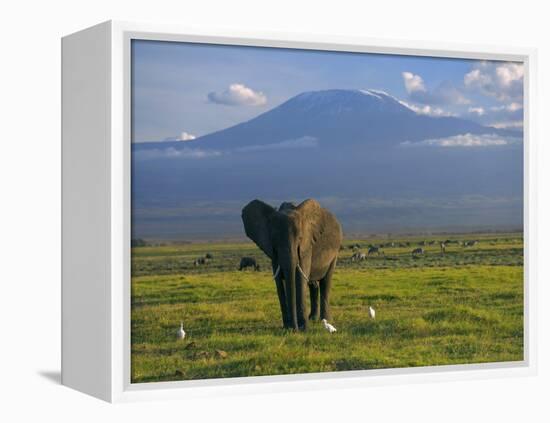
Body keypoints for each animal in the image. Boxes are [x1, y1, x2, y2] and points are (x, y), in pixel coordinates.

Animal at [243, 199, 342, 332]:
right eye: (274, 240)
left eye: (300, 238)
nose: (294, 329)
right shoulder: (274, 253)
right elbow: (279, 282)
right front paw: (287, 328)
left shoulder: (306, 246)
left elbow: (299, 279)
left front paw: (303, 328)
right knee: (313, 284)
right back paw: (312, 319)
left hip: (335, 252)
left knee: (326, 282)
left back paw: (324, 320)